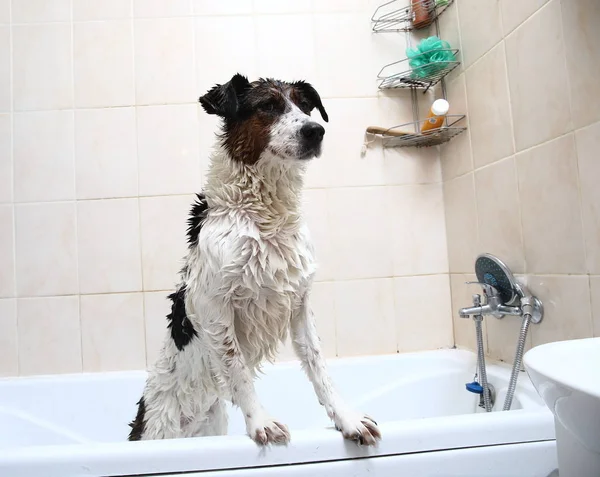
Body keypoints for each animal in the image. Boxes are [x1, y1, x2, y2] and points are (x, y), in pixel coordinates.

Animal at [129, 74, 382, 446]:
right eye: (267, 105)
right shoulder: (215, 306)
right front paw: (261, 422)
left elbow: (319, 366)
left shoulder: (298, 302)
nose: (316, 131)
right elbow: (237, 369)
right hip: (161, 431)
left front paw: (346, 418)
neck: (264, 214)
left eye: (305, 106)